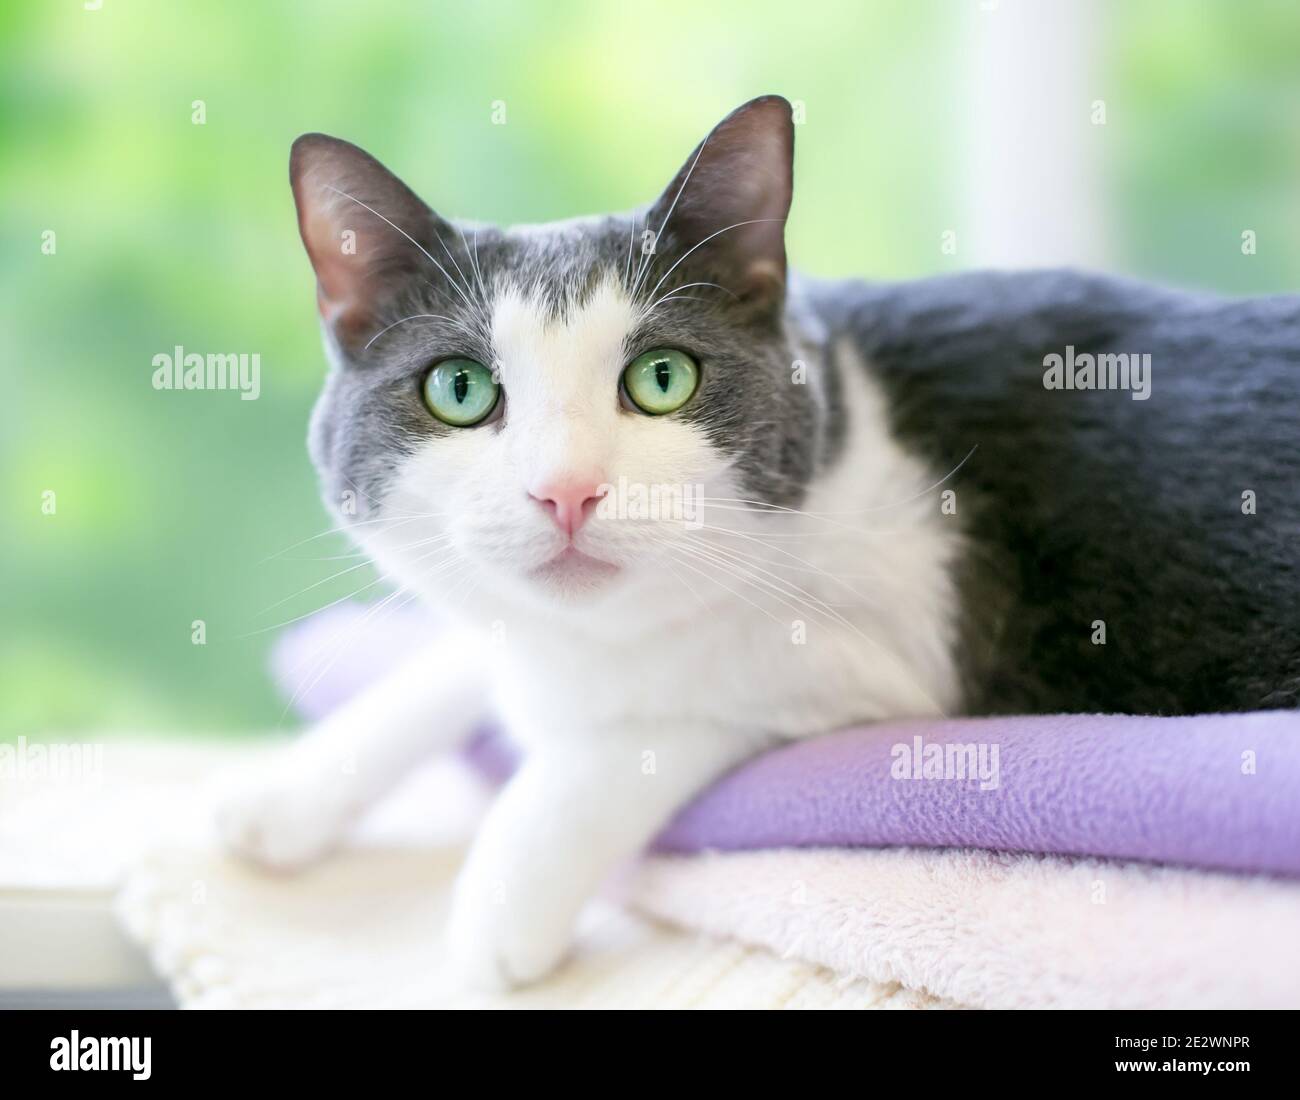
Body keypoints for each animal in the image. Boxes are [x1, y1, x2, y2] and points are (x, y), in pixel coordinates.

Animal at [220, 94, 1300, 988]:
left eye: (662, 378)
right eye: (458, 389)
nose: (565, 490)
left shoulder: (888, 651)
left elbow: (661, 706)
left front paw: (501, 897)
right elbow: (465, 651)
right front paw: (288, 789)